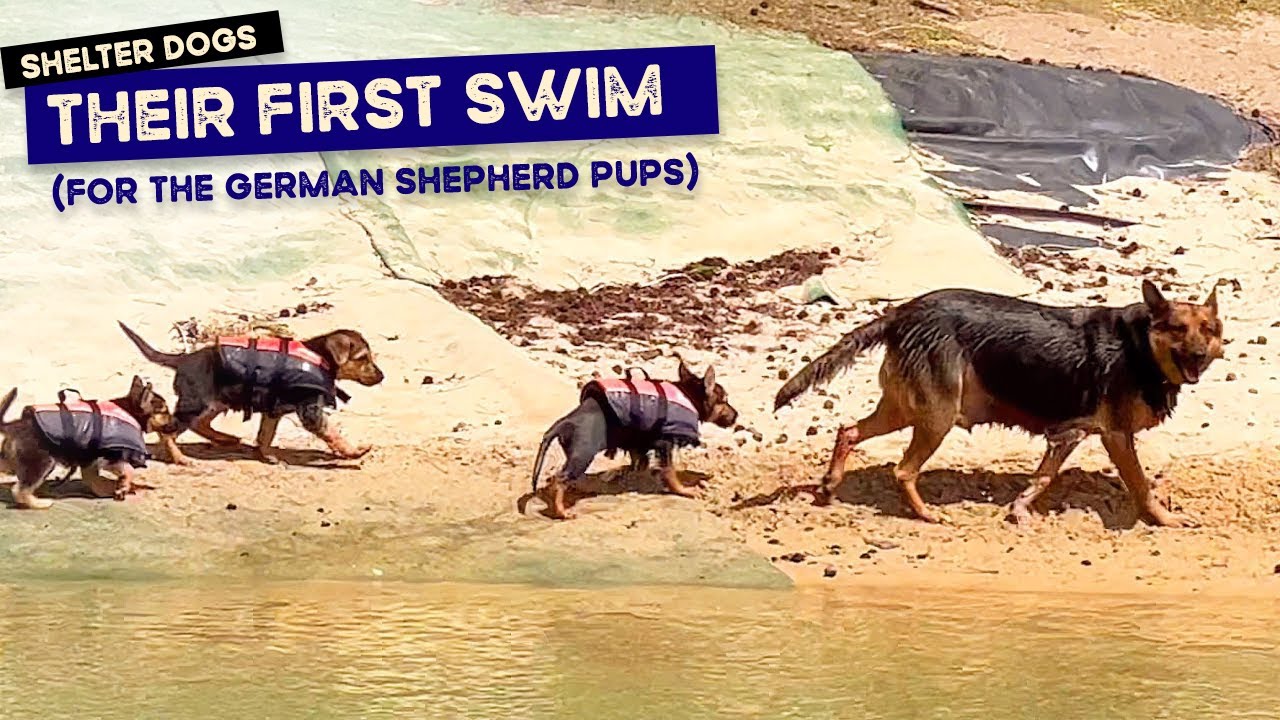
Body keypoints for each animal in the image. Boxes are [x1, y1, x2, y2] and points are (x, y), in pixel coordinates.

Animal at [0, 376, 177, 504]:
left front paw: (108, 490)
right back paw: (38, 503)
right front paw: (122, 486)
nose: (177, 424)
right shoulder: (111, 457)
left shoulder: (90, 461)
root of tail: (14, 425)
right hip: (43, 462)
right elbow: (129, 470)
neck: (130, 412)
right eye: (164, 412)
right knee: (20, 490)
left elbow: (95, 479)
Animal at [117, 324, 381, 466]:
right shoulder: (310, 411)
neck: (320, 357)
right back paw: (181, 458)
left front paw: (267, 455)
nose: (382, 376)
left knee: (200, 424)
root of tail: (182, 359)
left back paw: (225, 438)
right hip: (197, 402)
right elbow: (333, 433)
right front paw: (354, 452)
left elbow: (265, 434)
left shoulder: (273, 411)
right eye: (362, 358)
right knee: (168, 433)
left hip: (217, 401)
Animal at [524, 361, 737, 517]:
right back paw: (562, 511)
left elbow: (637, 462)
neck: (688, 396)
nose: (737, 415)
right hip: (582, 456)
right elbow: (670, 471)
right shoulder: (665, 444)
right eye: (725, 400)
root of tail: (565, 421)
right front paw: (683, 491)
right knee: (559, 480)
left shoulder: (637, 443)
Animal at [773, 280, 1223, 527]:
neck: (1140, 348)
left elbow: (1043, 477)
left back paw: (830, 485)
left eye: (1209, 329)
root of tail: (903, 312)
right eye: (1177, 329)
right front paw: (1165, 519)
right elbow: (1140, 485)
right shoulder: (1110, 434)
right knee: (903, 470)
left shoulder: (1071, 434)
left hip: (904, 409)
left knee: (848, 430)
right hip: (937, 415)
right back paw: (926, 514)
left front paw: (1020, 509)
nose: (1200, 354)